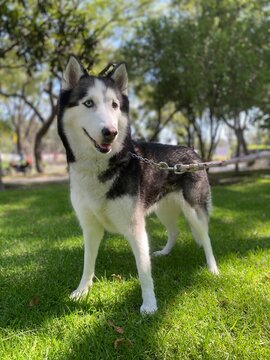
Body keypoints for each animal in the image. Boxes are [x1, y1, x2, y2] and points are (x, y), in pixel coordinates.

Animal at [58, 54, 218, 314]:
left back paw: (213, 268)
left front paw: (150, 305)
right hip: (163, 209)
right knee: (174, 231)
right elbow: (87, 263)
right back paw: (164, 252)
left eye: (114, 105)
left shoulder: (135, 227)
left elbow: (144, 270)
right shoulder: (90, 227)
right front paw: (81, 292)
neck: (101, 168)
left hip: (194, 210)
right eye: (88, 103)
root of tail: (192, 150)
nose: (110, 132)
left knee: (205, 237)